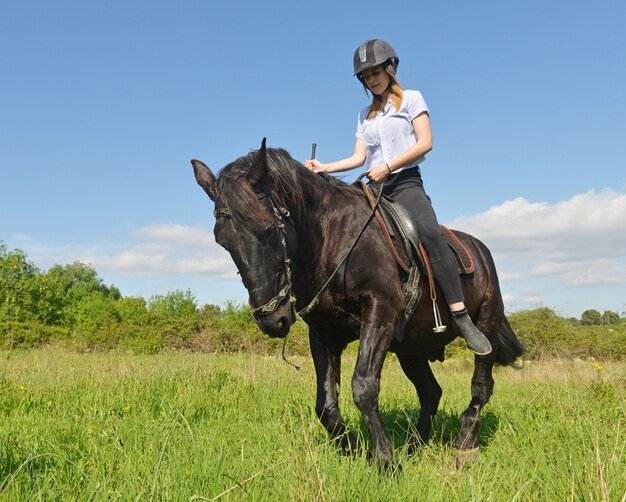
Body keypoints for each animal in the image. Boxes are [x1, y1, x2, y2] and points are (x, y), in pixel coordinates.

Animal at [190, 139, 520, 468]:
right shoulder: (324, 332)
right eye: (222, 242)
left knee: (481, 386)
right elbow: (325, 404)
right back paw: (415, 446)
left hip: (486, 325)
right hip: (411, 350)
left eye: (269, 228)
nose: (271, 319)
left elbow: (363, 387)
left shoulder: (380, 313)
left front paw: (386, 461)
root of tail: (482, 250)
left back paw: (465, 445)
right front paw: (356, 449)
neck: (332, 239)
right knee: (431, 393)